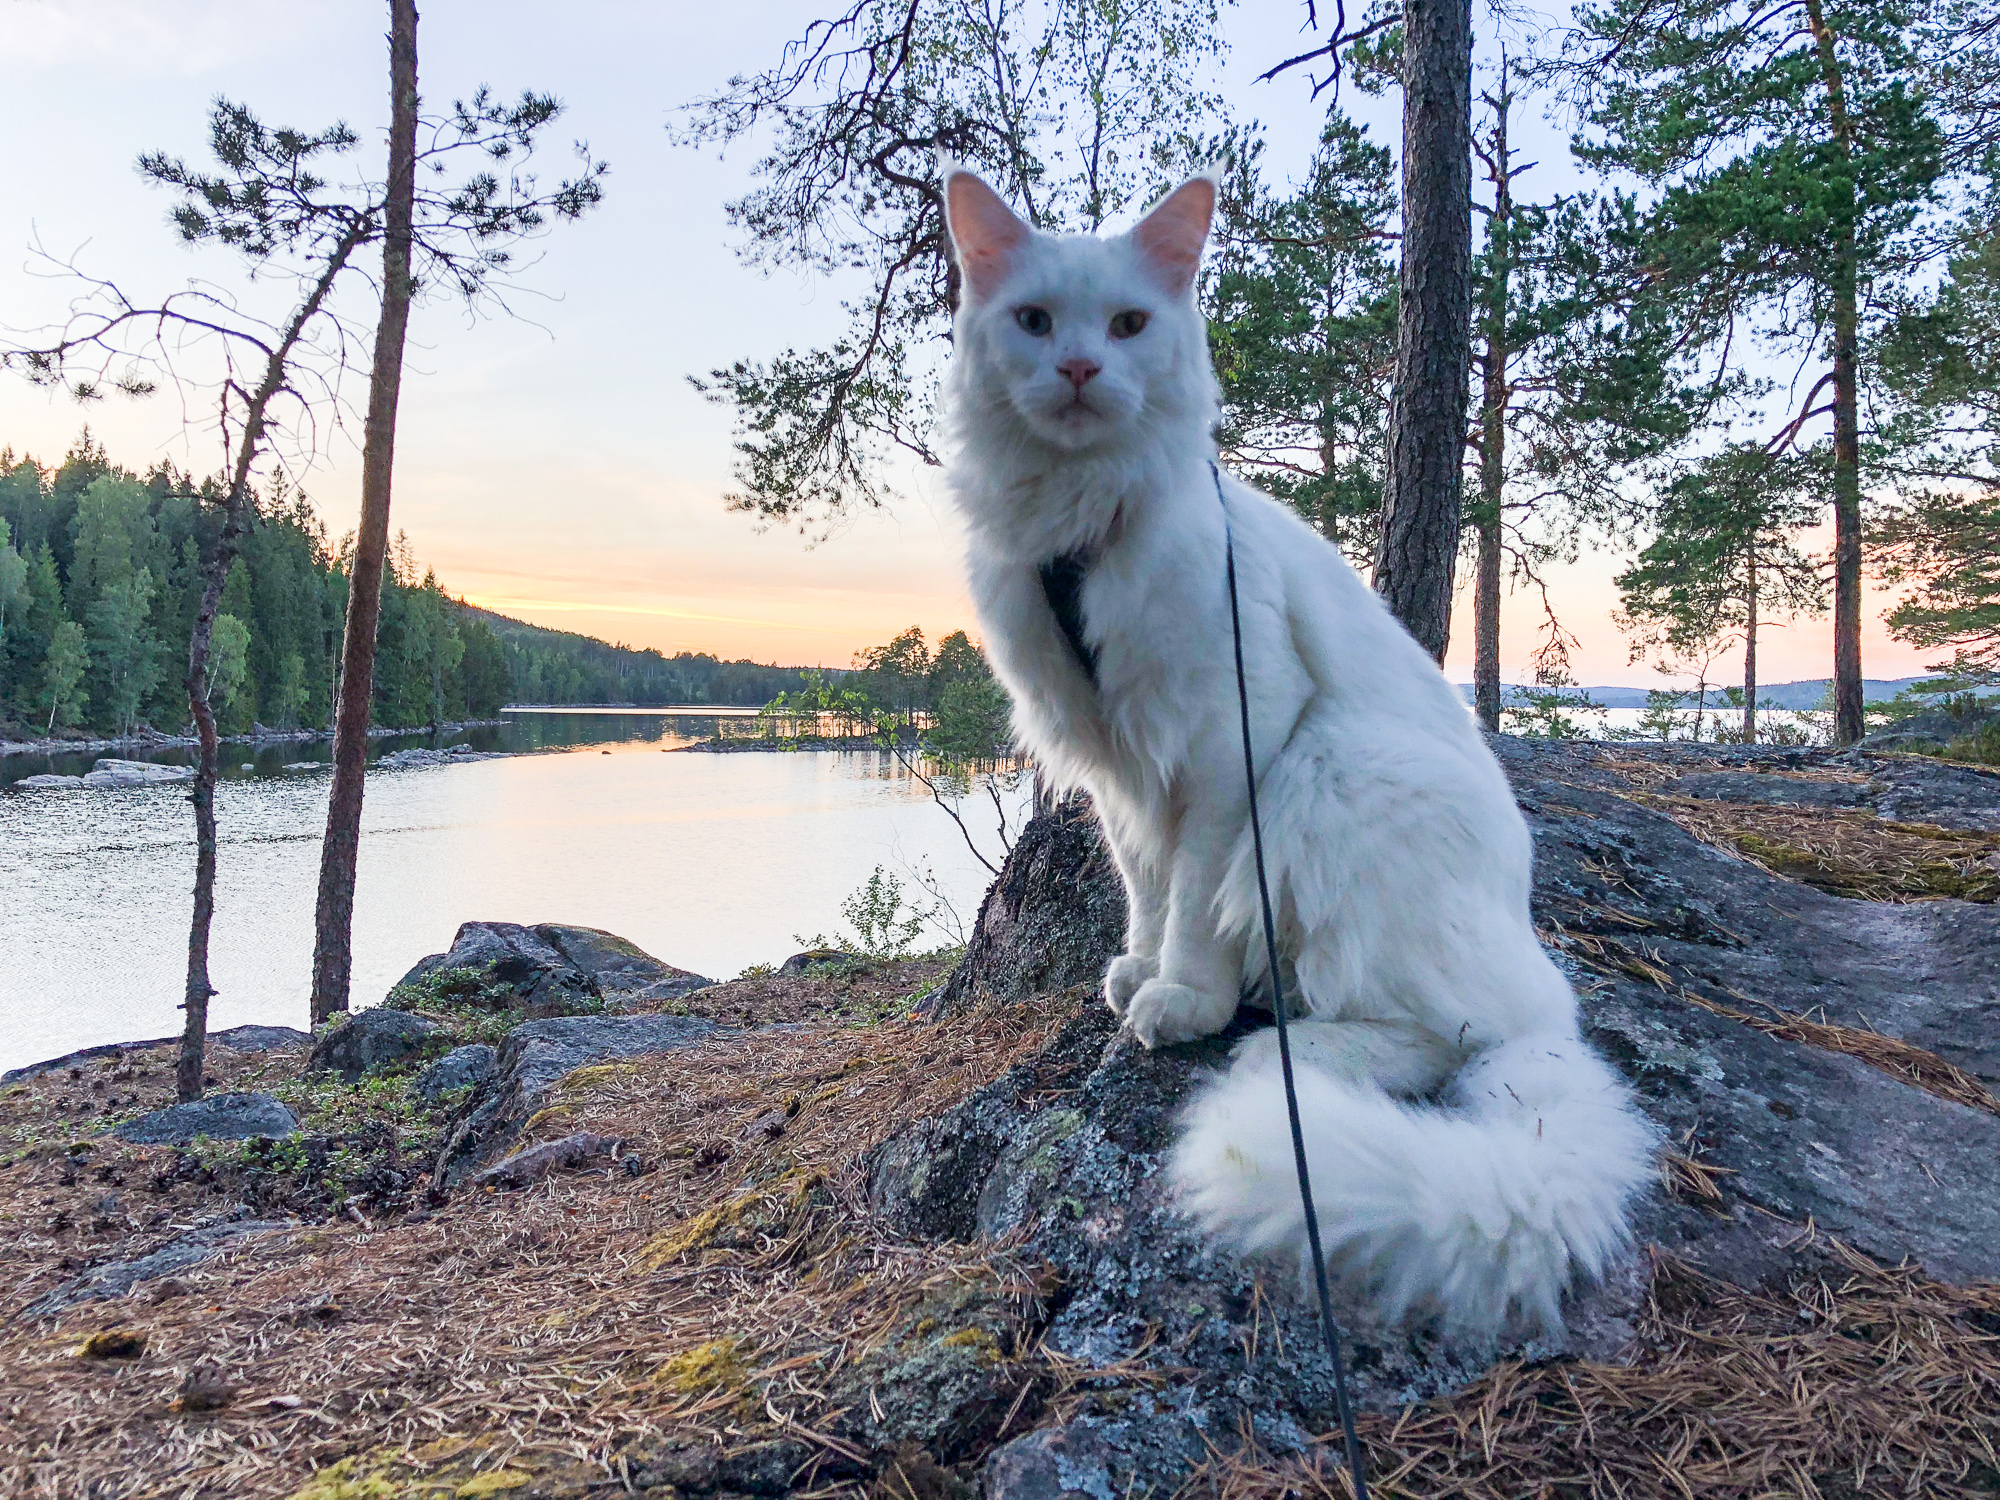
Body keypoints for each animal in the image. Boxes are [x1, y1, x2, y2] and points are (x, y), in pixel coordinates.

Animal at [936, 167, 1656, 1336]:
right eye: (1035, 323)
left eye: (1128, 326)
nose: (1081, 369)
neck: (1079, 534)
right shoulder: (1118, 771)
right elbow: (1143, 887)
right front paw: (1135, 967)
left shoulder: (1233, 735)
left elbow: (1192, 899)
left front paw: (1178, 999)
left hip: (1331, 769)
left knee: (1441, 1034)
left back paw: (1280, 1054)